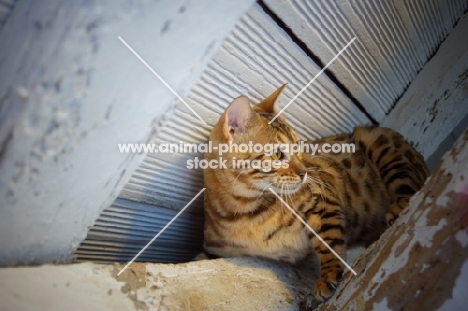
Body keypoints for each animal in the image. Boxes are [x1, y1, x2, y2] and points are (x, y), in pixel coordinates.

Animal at [201, 86, 428, 302]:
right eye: (276, 154)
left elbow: (328, 242)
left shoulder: (323, 200)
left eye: (298, 146)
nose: (304, 173)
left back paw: (400, 205)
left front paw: (328, 274)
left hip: (377, 143)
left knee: (410, 185)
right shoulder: (216, 247)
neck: (247, 211)